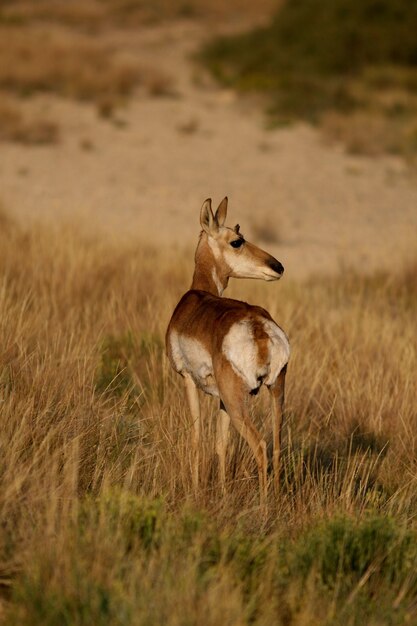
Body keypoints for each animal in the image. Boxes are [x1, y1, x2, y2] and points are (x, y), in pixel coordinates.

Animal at [166, 197, 290, 504]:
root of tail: (259, 326)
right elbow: (221, 444)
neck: (198, 296)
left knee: (260, 446)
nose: (278, 266)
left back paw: (264, 506)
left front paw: (196, 490)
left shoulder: (188, 381)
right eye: (237, 240)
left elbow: (197, 436)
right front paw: (221, 492)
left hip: (238, 402)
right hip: (276, 392)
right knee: (277, 445)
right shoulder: (220, 398)